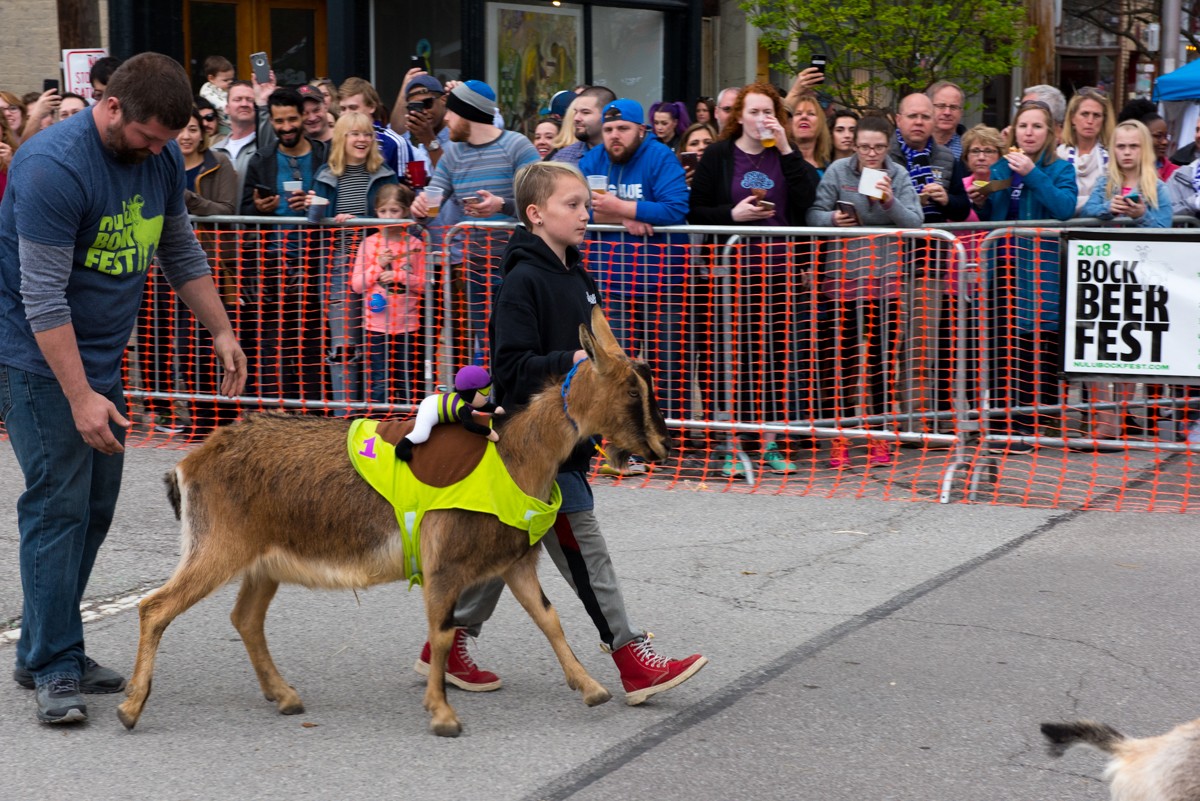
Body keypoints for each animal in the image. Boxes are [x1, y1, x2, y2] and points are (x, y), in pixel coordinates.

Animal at [115, 309, 672, 738]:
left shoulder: (512, 562)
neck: (514, 457)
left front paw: (593, 689)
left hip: (261, 560)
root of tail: (190, 464)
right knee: (154, 607)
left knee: (245, 618)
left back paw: (286, 696)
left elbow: (549, 618)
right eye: (631, 390)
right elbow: (442, 633)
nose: (660, 449)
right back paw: (130, 707)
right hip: (218, 545)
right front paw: (443, 715)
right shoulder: (443, 565)